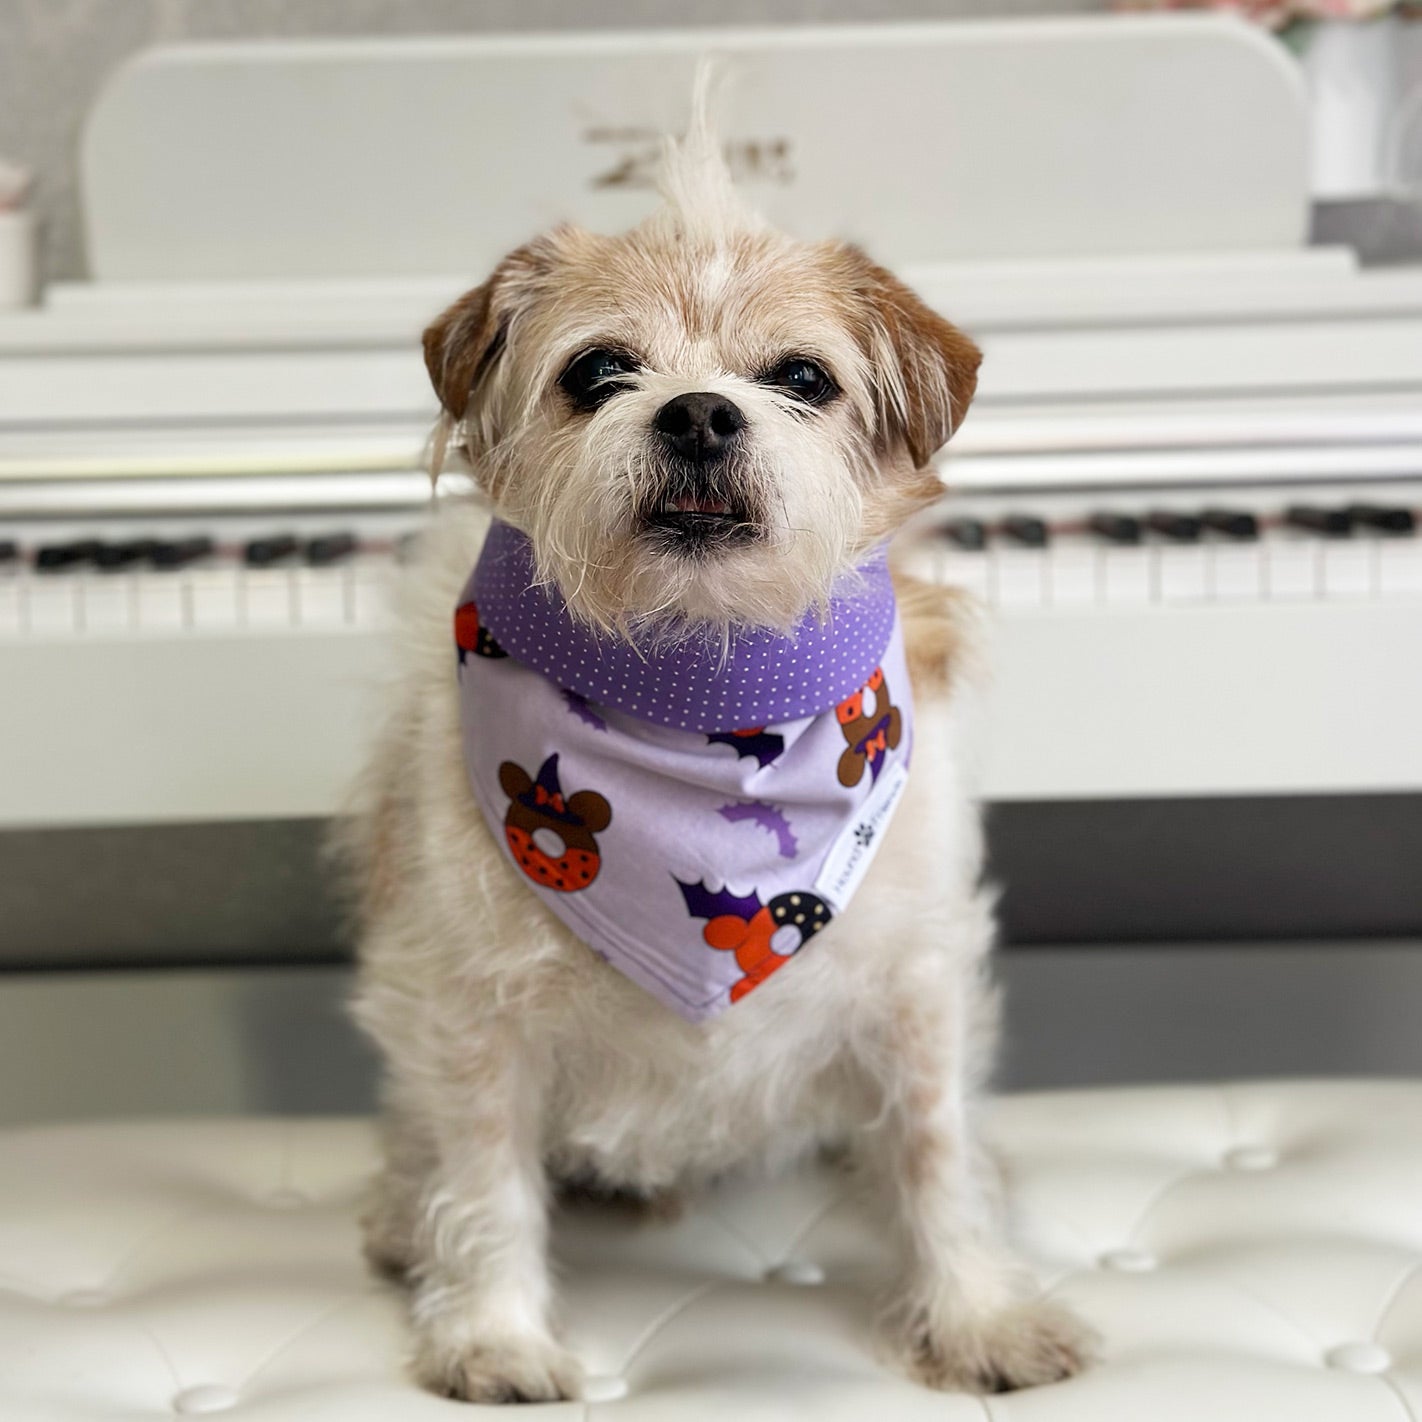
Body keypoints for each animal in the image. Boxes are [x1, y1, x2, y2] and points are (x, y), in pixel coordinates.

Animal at [338, 97, 1092, 1399]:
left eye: (801, 378)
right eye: (599, 372)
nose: (697, 409)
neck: (705, 694)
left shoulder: (914, 990)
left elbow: (935, 1153)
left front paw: (977, 1315)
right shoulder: (471, 1011)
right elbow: (485, 1179)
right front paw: (492, 1334)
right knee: (425, 1143)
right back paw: (399, 1212)